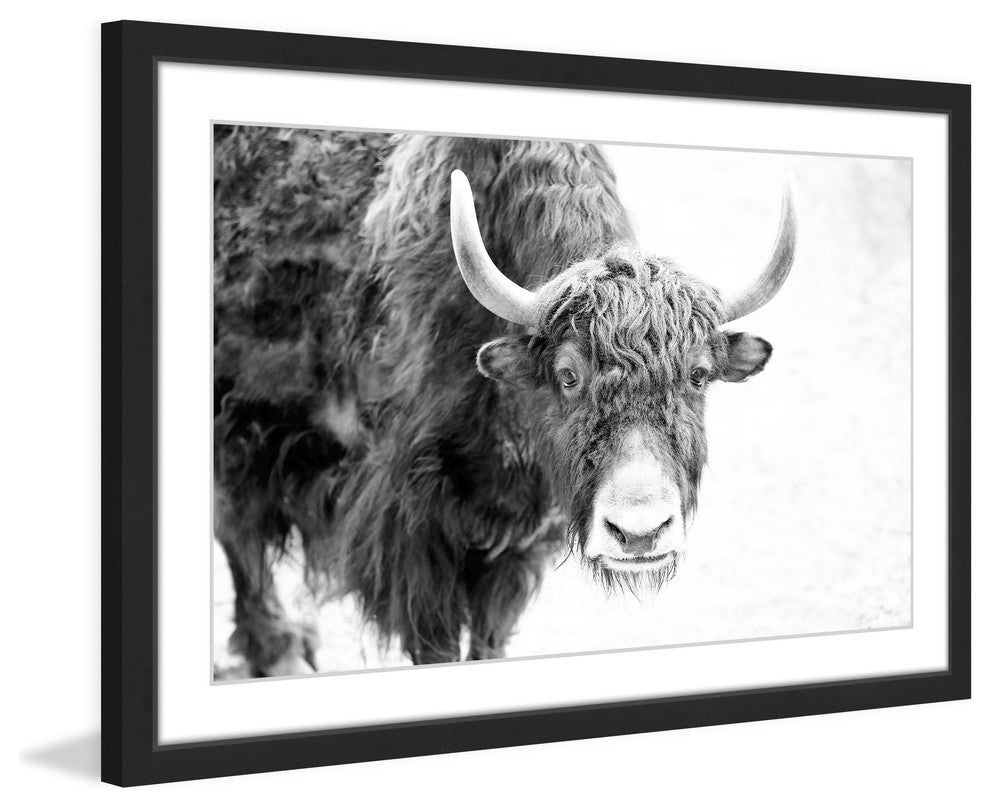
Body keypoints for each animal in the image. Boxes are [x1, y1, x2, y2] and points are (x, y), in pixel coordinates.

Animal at [213, 127, 796, 677]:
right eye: (568, 375)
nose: (639, 533)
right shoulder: (416, 537)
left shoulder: (516, 544)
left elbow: (488, 638)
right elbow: (437, 644)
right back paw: (280, 651)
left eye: (698, 375)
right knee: (237, 528)